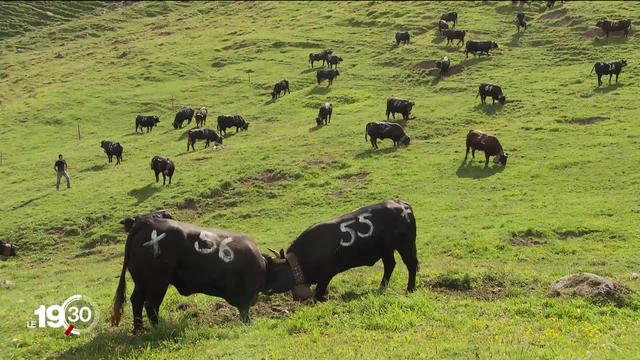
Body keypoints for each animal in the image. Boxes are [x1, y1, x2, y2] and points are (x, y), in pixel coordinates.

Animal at [262, 200, 420, 300]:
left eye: (274, 270)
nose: (263, 287)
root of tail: (401, 203)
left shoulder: (326, 274)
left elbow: (318, 292)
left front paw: (323, 298)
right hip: (386, 250)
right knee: (390, 265)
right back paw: (382, 287)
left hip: (406, 245)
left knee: (411, 264)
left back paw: (410, 289)